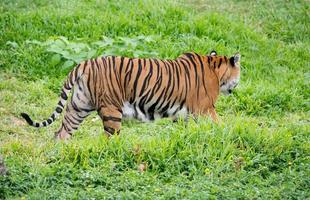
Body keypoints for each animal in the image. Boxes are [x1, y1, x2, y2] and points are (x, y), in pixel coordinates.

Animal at [21, 50, 240, 140]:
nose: (236, 87)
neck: (215, 69)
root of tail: (85, 63)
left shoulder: (184, 112)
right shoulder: (205, 108)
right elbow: (219, 123)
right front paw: (226, 133)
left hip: (79, 106)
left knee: (61, 132)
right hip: (111, 111)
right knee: (109, 138)